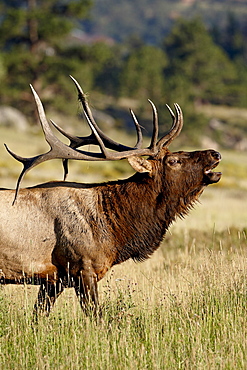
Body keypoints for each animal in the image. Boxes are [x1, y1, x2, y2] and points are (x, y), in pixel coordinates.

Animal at [0, 76, 222, 316]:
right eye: (174, 161)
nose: (215, 153)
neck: (114, 231)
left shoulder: (54, 279)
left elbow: (38, 316)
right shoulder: (83, 267)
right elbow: (96, 315)